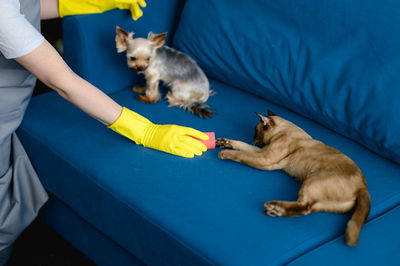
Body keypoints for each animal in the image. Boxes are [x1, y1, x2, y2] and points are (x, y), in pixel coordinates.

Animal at [217, 109, 370, 245]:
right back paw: (274, 211)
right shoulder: (262, 152)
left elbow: (241, 154)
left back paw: (273, 206)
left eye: (255, 131)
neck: (284, 130)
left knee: (304, 206)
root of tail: (363, 186)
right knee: (306, 209)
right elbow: (242, 145)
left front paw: (223, 153)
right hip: (319, 200)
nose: (254, 139)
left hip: (311, 181)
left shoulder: (265, 158)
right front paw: (224, 142)